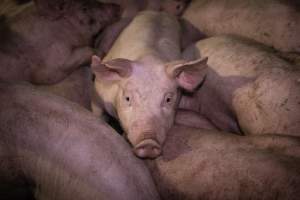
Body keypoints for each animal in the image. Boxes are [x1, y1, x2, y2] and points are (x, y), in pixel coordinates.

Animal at [92, 10, 207, 159]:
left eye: (168, 99)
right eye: (127, 98)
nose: (148, 142)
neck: (149, 57)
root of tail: (159, 11)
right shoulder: (97, 93)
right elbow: (97, 113)